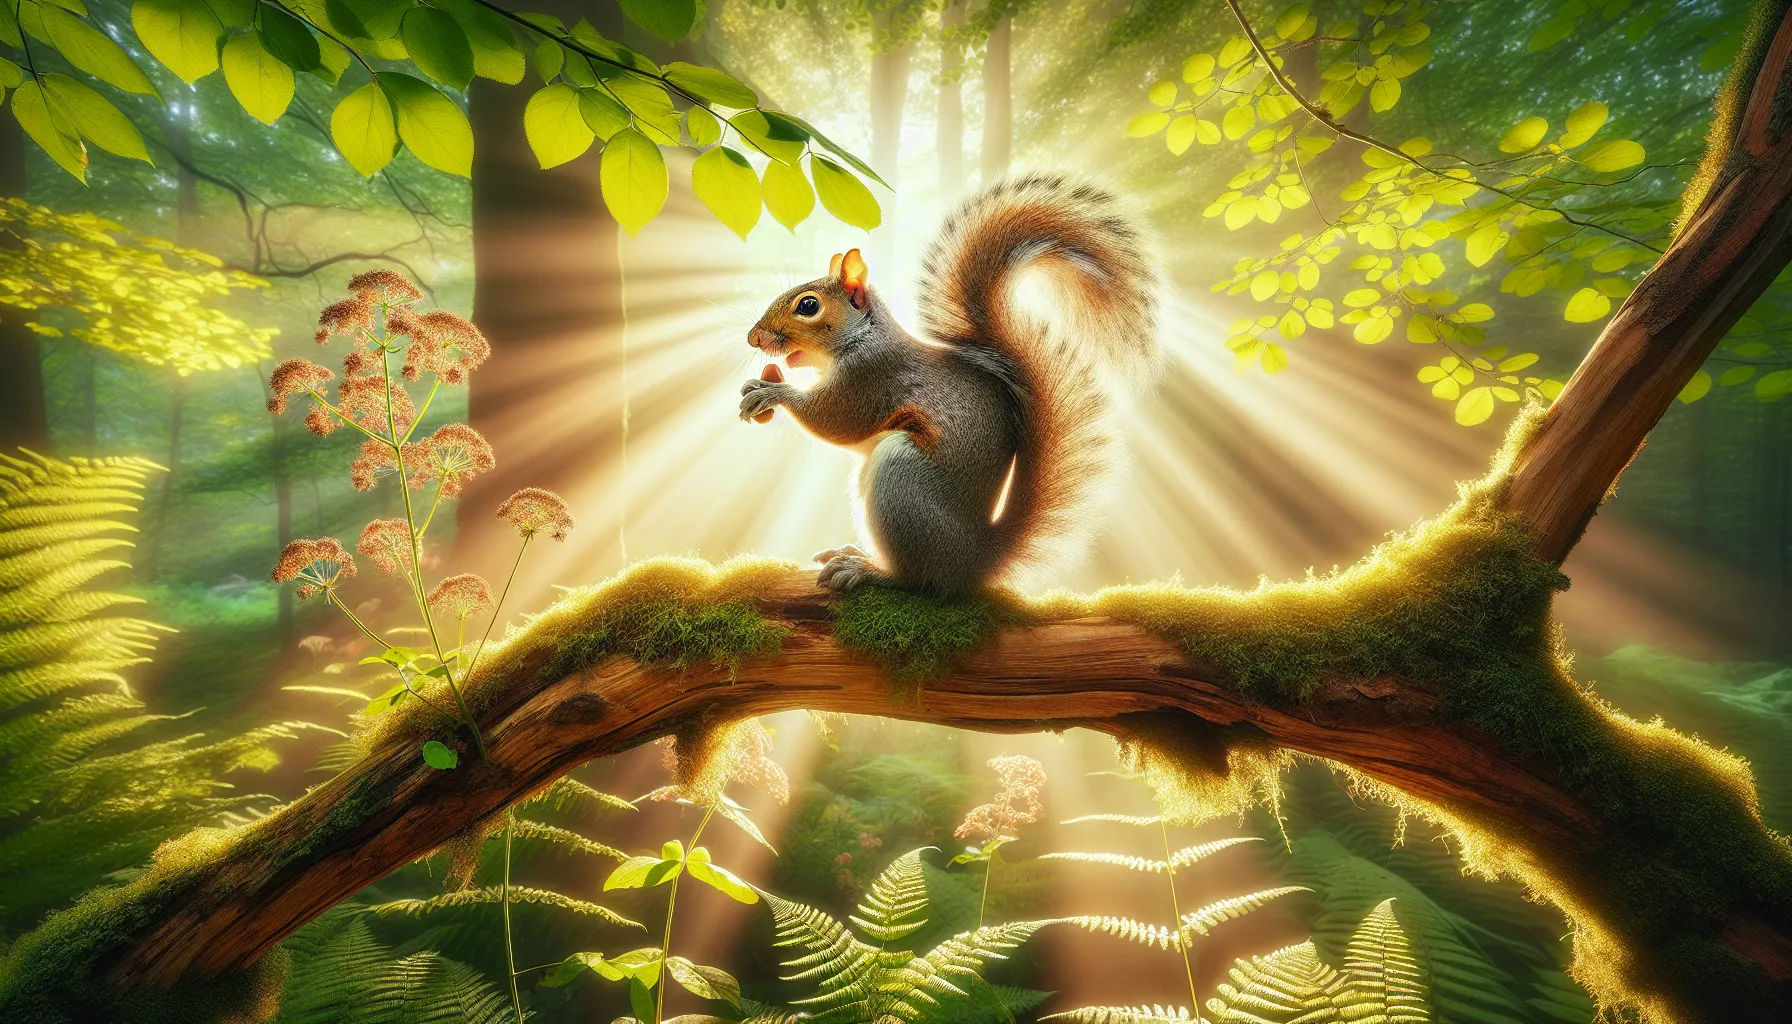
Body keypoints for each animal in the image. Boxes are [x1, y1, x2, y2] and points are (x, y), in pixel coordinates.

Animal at [740, 173, 1160, 598]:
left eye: (808, 306)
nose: (754, 338)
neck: (862, 336)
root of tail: (973, 560)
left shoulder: (871, 377)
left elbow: (836, 421)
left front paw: (771, 392)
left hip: (901, 480)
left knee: (916, 579)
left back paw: (867, 570)